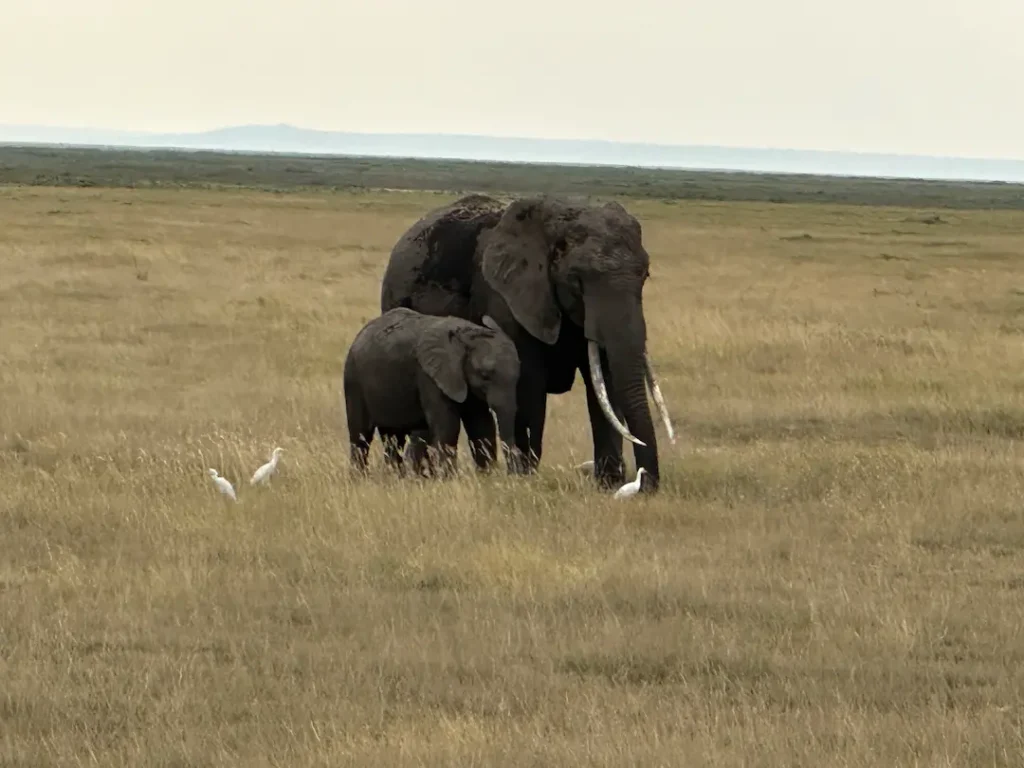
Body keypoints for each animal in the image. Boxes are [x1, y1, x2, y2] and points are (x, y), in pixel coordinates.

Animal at [342, 306, 525, 476]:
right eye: (485, 375)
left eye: (517, 375)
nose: (513, 474)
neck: (466, 334)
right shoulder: (429, 376)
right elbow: (448, 425)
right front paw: (449, 479)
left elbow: (481, 424)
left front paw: (486, 477)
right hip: (353, 379)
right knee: (360, 435)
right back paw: (360, 479)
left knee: (393, 438)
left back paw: (396, 478)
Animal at [379, 193, 676, 493]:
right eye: (578, 281)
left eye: (645, 275)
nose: (646, 485)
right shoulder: (506, 299)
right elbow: (530, 383)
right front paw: (524, 478)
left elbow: (605, 384)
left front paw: (607, 485)